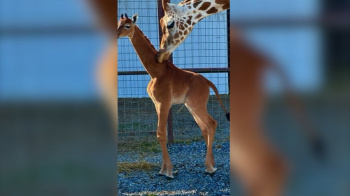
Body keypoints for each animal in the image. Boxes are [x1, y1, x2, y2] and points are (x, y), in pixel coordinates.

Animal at [117, 13, 230, 179]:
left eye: (127, 25)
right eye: (118, 23)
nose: (116, 34)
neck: (155, 72)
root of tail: (208, 82)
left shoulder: (164, 103)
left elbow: (161, 133)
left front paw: (168, 171)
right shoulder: (157, 104)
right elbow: (161, 133)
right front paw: (163, 169)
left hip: (197, 104)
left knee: (211, 123)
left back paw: (210, 167)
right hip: (191, 106)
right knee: (205, 127)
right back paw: (212, 164)